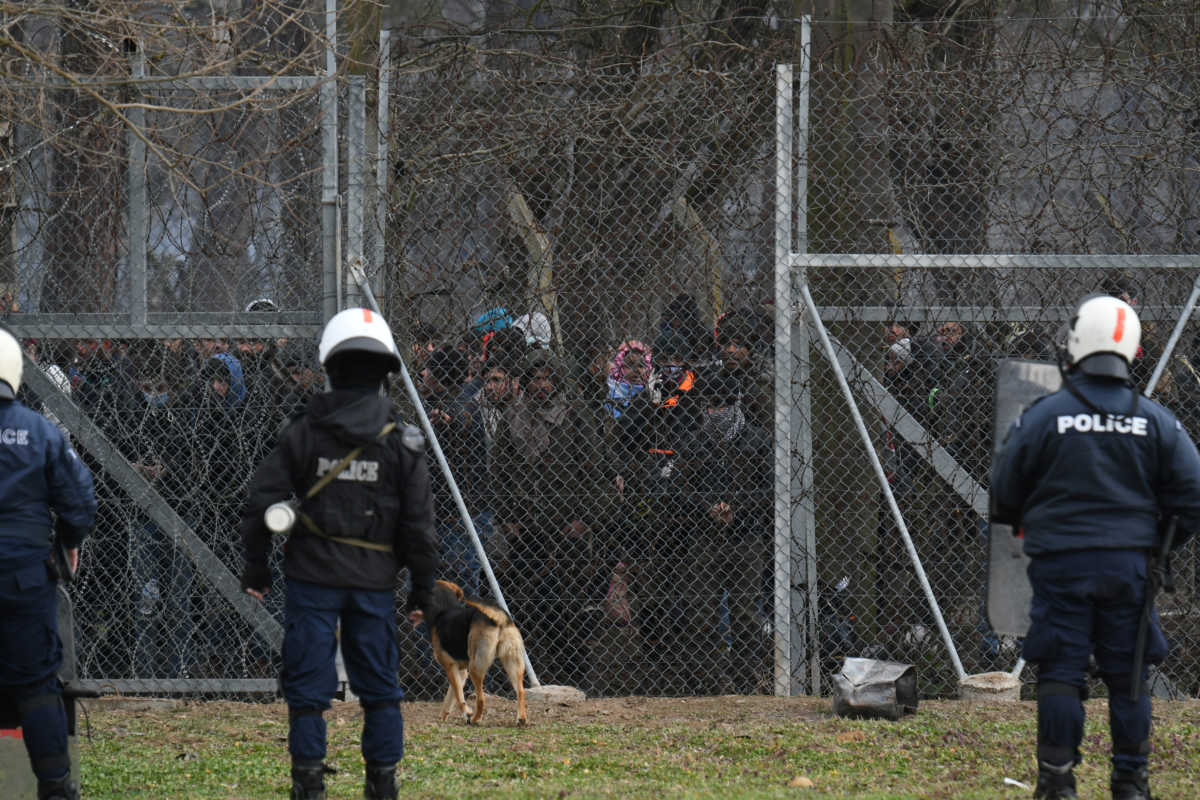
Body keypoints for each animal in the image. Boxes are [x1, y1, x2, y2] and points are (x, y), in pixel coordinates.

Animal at [427, 578, 530, 729]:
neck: (445, 609)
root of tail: (500, 618)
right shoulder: (461, 671)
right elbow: (451, 697)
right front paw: (443, 718)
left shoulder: (450, 667)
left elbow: (458, 696)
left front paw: (466, 714)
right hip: (512, 663)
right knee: (521, 692)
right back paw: (521, 719)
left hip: (475, 667)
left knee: (481, 699)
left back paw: (475, 719)